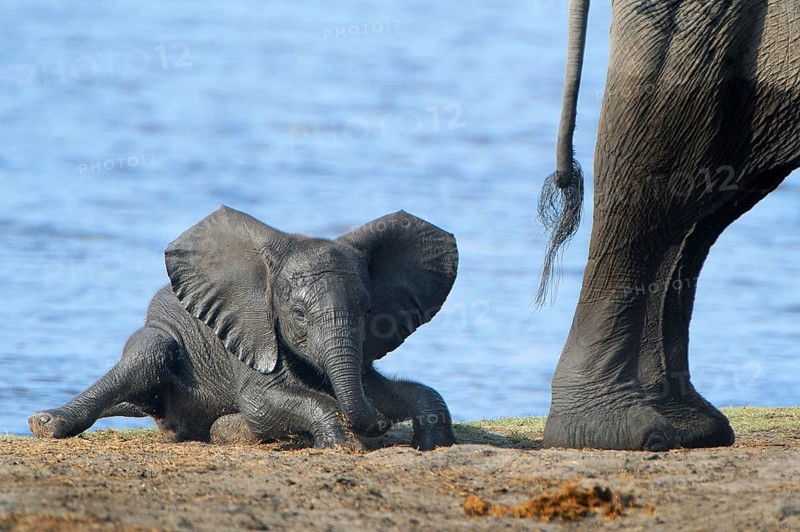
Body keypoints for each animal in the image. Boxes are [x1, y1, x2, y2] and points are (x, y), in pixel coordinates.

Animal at [28, 206, 459, 451]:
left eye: (368, 310)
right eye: (298, 313)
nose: (380, 424)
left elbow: (391, 389)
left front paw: (434, 444)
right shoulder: (250, 332)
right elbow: (258, 402)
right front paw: (338, 444)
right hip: (158, 333)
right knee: (149, 354)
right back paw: (46, 424)